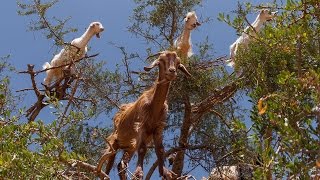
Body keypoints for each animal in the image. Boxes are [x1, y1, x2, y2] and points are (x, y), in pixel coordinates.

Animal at [97, 51, 191, 180]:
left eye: (178, 63)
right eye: (161, 61)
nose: (172, 71)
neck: (153, 106)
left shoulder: (158, 128)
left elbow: (160, 149)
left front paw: (164, 172)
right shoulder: (141, 126)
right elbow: (142, 149)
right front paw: (139, 173)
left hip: (129, 146)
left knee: (121, 165)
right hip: (114, 141)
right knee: (108, 164)